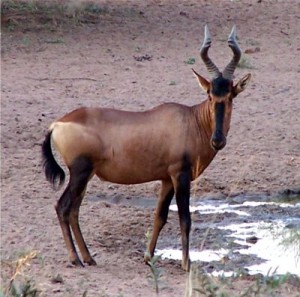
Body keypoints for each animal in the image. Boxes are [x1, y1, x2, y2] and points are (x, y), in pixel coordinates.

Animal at [40, 25, 251, 270]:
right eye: (210, 95)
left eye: (230, 96)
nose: (217, 140)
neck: (190, 119)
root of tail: (57, 124)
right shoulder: (180, 175)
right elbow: (185, 218)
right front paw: (186, 264)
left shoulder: (167, 179)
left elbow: (160, 216)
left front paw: (148, 257)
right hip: (80, 172)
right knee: (63, 207)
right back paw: (75, 259)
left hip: (85, 175)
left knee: (74, 211)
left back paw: (88, 257)